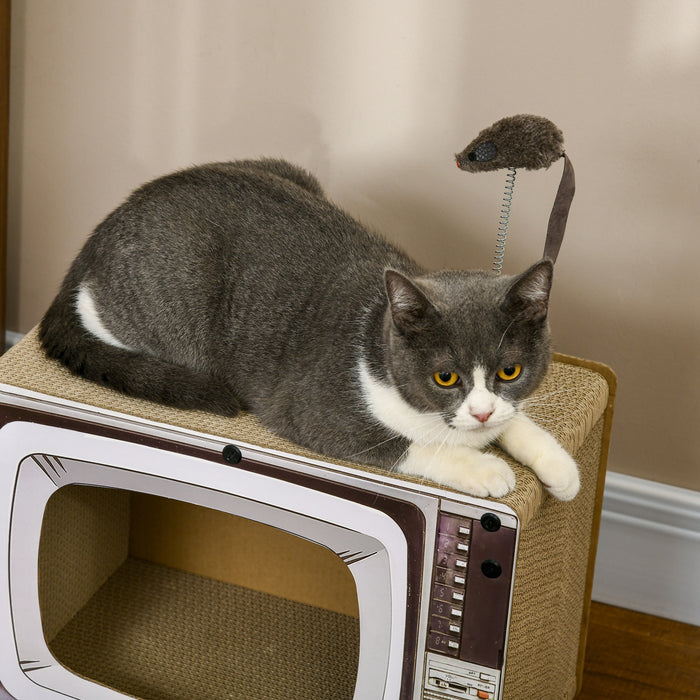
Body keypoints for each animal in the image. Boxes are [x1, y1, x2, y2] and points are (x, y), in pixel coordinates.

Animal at [39, 157, 580, 500]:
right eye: (445, 377)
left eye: (510, 371)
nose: (481, 412)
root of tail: (97, 234)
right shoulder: (316, 411)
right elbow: (404, 445)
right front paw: (487, 469)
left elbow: (517, 420)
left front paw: (559, 468)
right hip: (177, 302)